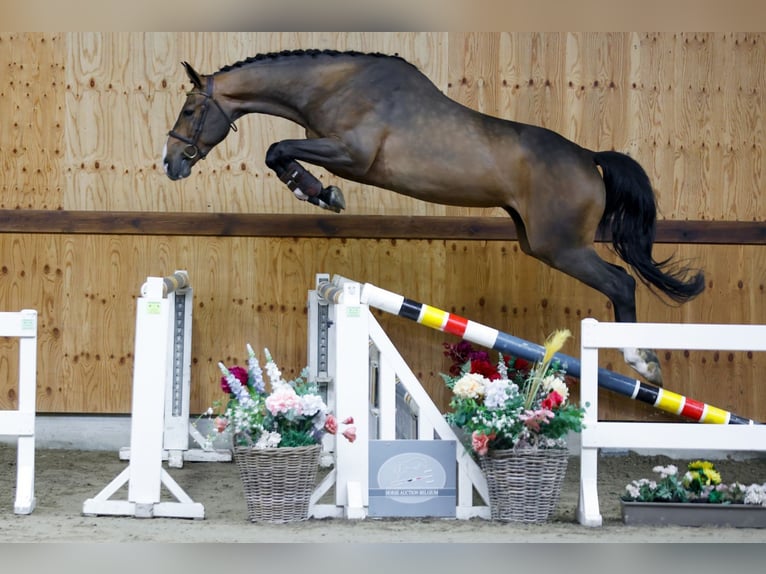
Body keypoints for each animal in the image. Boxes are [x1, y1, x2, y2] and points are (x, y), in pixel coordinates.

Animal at [164, 47, 708, 384]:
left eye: (190, 111)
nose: (171, 164)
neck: (335, 86)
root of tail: (589, 157)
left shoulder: (351, 154)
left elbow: (277, 149)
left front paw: (320, 193)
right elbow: (278, 152)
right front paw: (317, 192)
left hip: (562, 247)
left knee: (621, 282)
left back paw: (644, 363)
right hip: (538, 242)